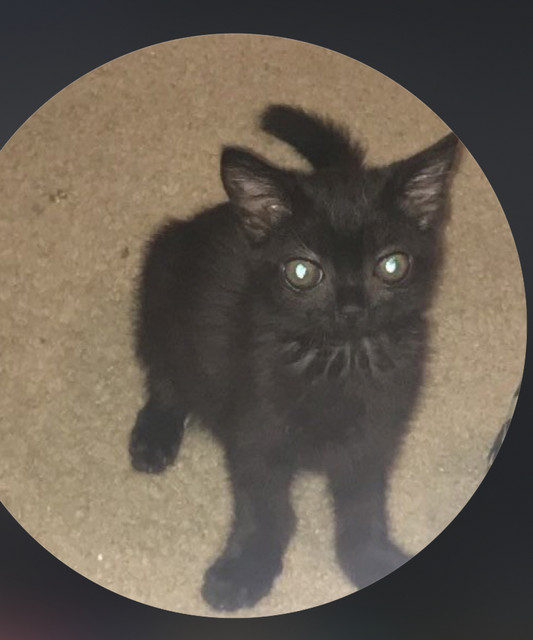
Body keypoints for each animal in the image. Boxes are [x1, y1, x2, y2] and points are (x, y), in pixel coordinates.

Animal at [129, 104, 459, 611]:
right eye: (303, 272)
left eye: (392, 265)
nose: (351, 307)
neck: (338, 361)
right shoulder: (254, 429)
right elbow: (264, 505)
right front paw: (245, 568)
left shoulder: (376, 432)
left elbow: (362, 502)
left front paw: (369, 557)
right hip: (160, 283)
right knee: (164, 370)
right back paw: (156, 433)